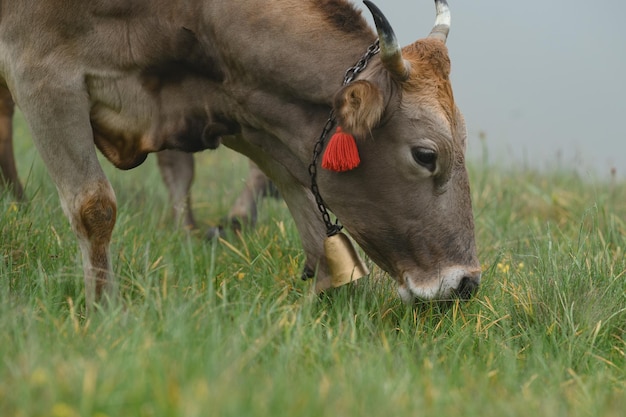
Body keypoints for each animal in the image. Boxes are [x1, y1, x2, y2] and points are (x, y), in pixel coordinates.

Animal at [0, 0, 480, 306]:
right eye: (425, 155)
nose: (465, 283)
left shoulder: (242, 102)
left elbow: (303, 205)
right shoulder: (41, 71)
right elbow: (94, 207)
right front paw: (103, 308)